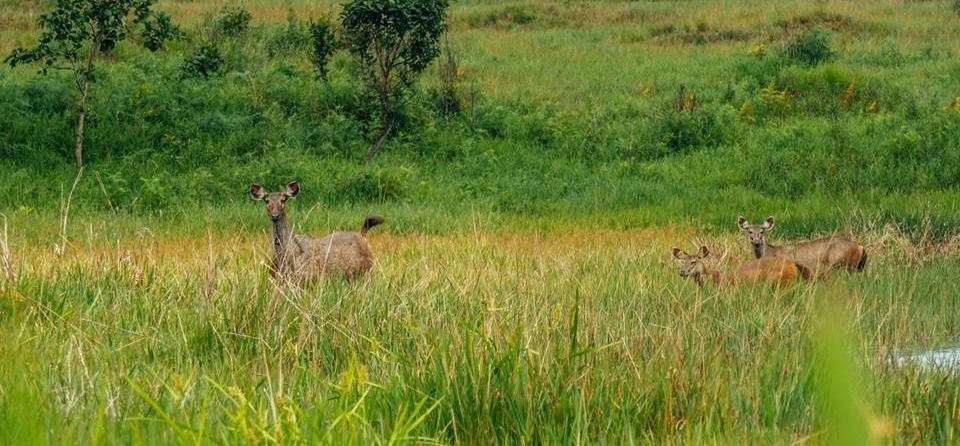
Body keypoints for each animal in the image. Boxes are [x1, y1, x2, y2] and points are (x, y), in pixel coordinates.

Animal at [249, 182, 384, 282]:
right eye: (266, 200)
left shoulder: (306, 277)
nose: (275, 215)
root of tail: (361, 234)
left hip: (367, 271)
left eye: (283, 199)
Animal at [740, 214, 868, 278]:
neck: (771, 252)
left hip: (843, 265)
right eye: (749, 231)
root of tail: (860, 247)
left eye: (762, 232)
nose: (756, 242)